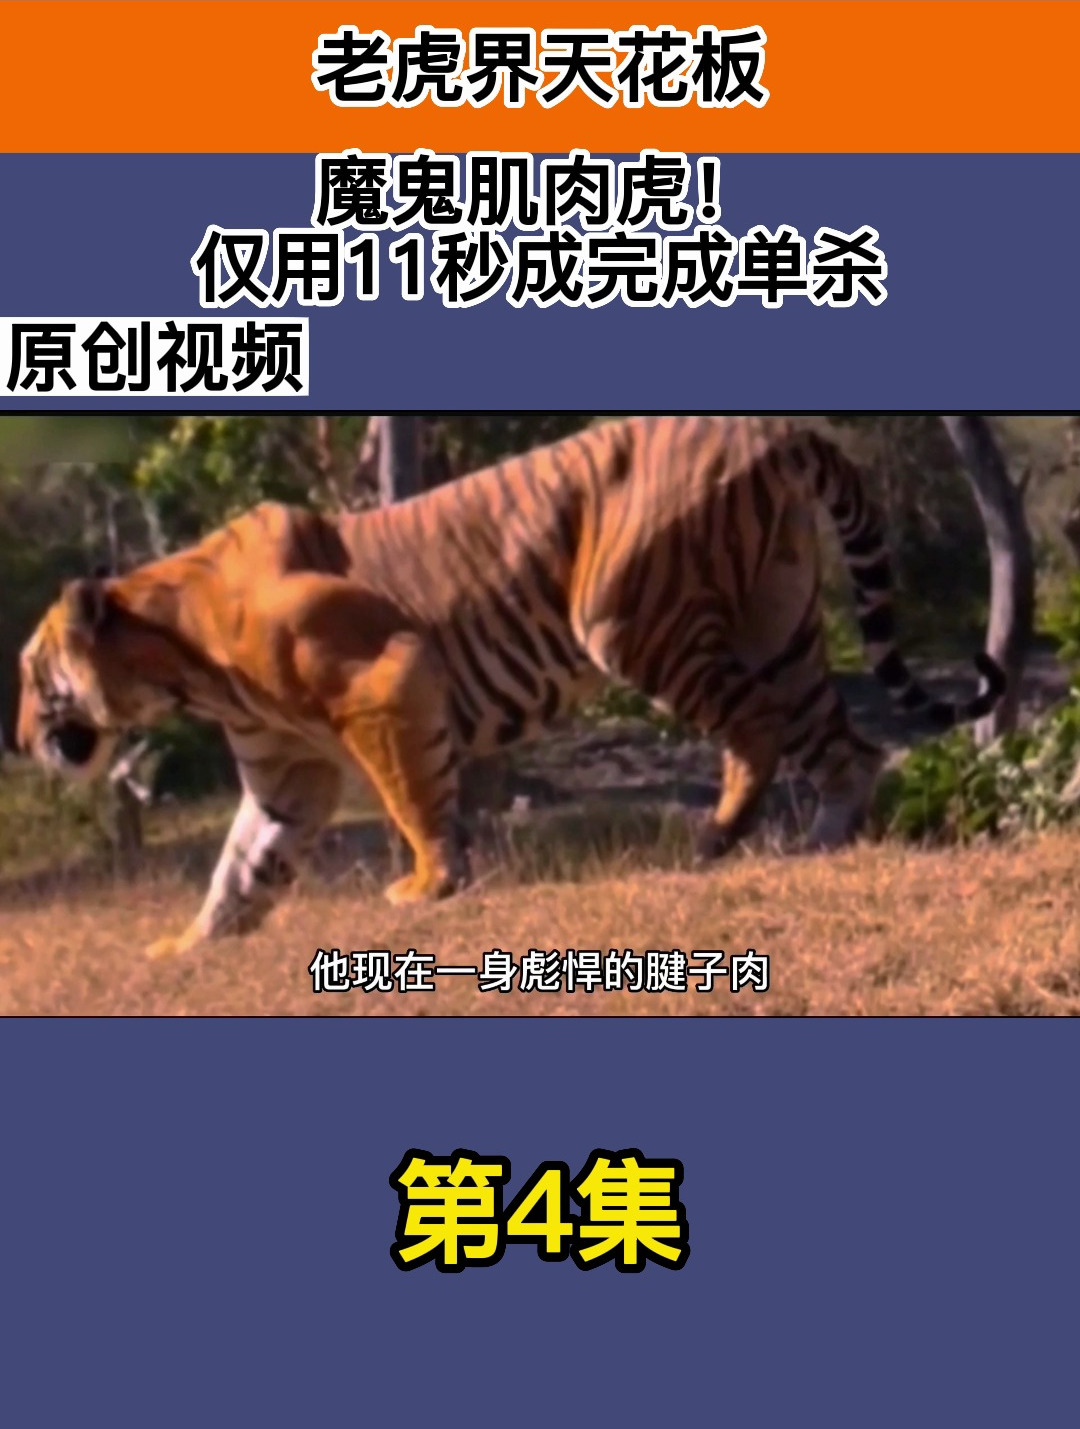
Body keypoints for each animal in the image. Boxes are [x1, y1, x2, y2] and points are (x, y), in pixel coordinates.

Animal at [16, 415, 1004, 961]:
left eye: (31, 675)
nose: (20, 736)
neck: (180, 669)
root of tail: (771, 428)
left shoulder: (388, 681)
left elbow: (415, 797)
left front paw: (428, 885)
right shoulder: (287, 772)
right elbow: (242, 868)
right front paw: (189, 944)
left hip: (628, 619)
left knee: (757, 729)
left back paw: (718, 838)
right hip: (782, 625)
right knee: (848, 747)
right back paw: (823, 842)